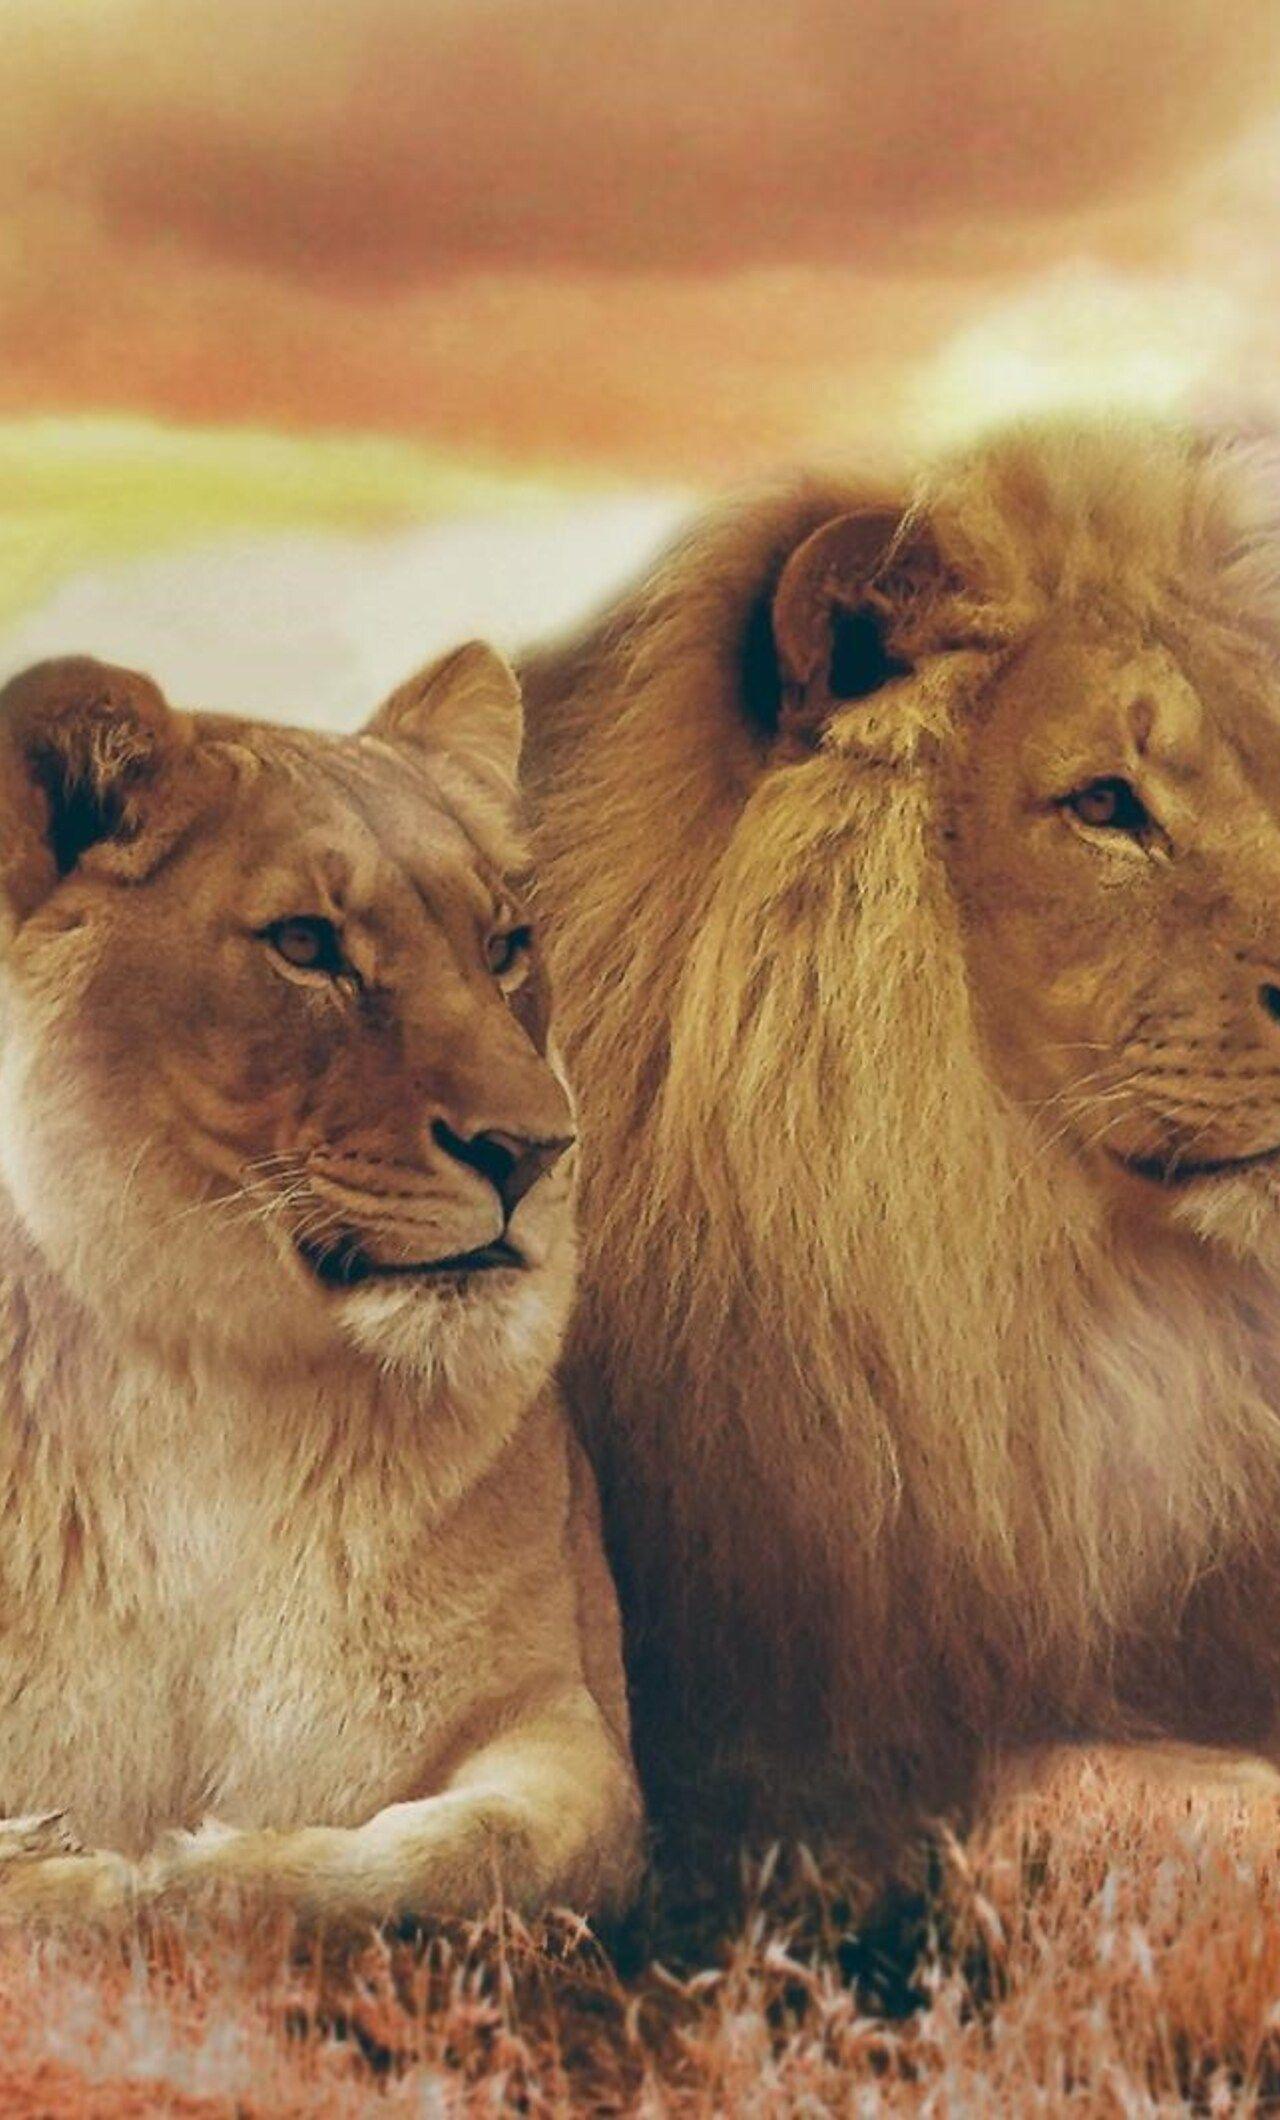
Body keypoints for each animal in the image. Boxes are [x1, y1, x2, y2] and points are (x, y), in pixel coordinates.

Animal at [0, 645, 641, 1925]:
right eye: (304, 944)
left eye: (505, 946)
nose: (536, 1148)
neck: (208, 1381)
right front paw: (68, 1865)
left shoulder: (565, 1720)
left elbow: (476, 1845)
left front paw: (192, 1871)